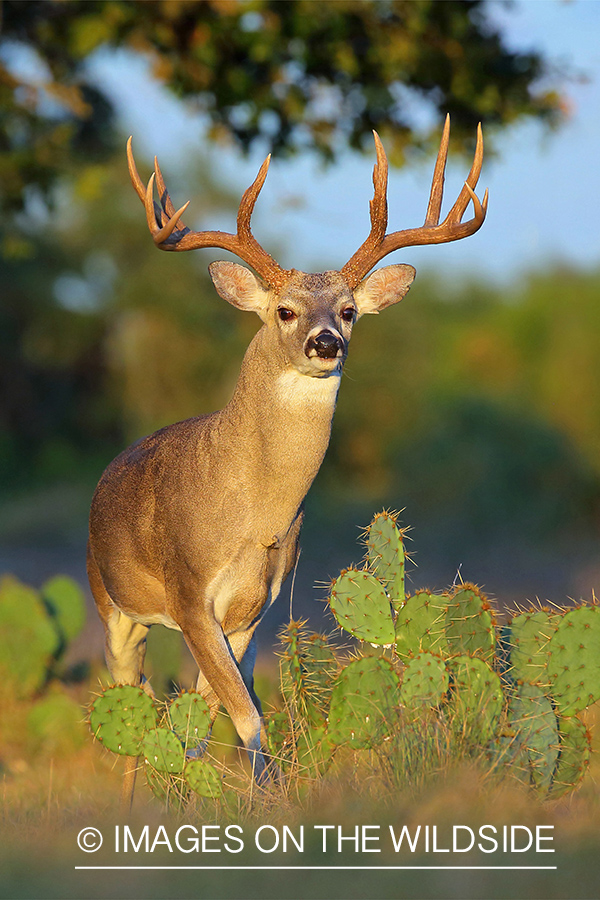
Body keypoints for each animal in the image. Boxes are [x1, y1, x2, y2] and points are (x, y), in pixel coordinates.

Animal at [85, 116, 488, 800]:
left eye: (349, 311)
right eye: (285, 310)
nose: (325, 342)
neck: (255, 513)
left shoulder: (253, 611)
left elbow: (217, 715)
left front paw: (246, 798)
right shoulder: (189, 592)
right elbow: (240, 718)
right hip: (110, 600)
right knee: (125, 694)